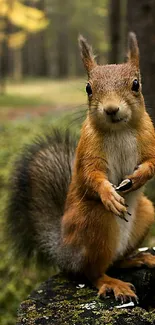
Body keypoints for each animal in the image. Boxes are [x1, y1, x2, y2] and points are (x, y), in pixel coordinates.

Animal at [6, 32, 155, 302]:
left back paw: (137, 258)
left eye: (136, 84)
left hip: (147, 212)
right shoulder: (88, 149)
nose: (111, 109)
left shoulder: (150, 138)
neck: (119, 130)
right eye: (88, 88)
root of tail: (65, 252)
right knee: (92, 272)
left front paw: (137, 178)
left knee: (115, 261)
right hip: (95, 221)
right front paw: (109, 194)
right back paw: (112, 283)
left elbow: (152, 163)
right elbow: (90, 175)